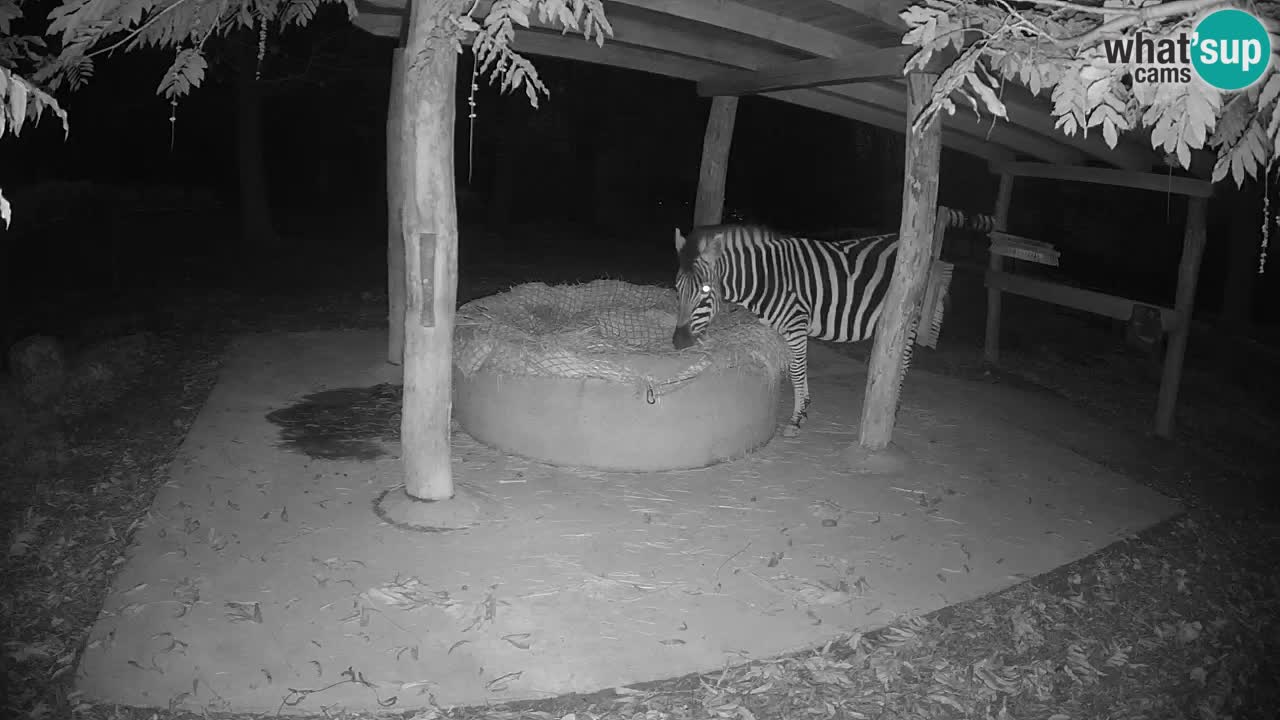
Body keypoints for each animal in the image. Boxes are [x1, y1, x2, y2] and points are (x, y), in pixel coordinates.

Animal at [671, 222, 947, 438]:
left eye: (706, 290)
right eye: (677, 287)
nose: (678, 342)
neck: (767, 278)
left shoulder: (796, 324)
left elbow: (796, 370)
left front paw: (796, 419)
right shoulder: (784, 328)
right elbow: (797, 366)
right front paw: (803, 409)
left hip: (911, 317)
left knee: (904, 362)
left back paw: (894, 408)